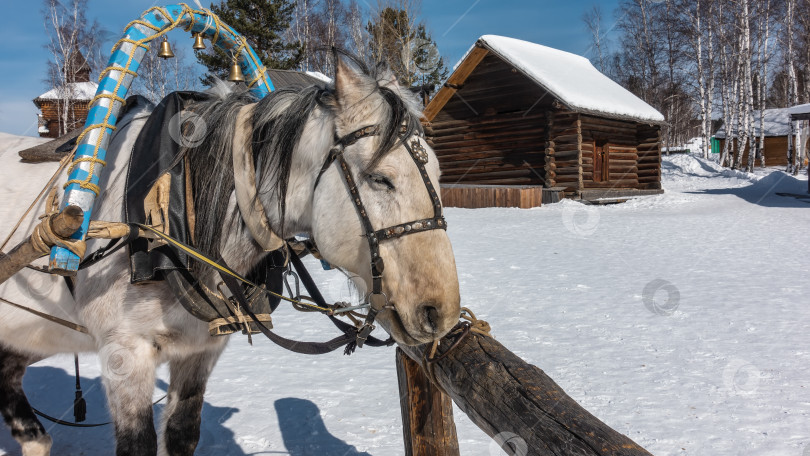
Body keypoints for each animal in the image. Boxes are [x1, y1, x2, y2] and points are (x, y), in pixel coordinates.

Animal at [0, 58, 458, 456]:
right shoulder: (123, 352)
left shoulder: (200, 349)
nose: (441, 313)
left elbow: (183, 434)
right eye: (381, 179)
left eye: (439, 174)